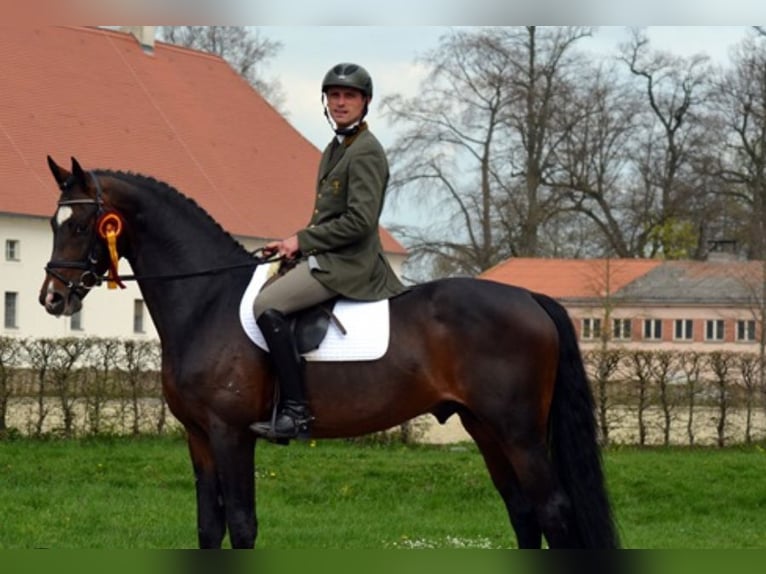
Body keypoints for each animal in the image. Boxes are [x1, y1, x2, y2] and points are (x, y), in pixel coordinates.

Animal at [39, 156, 620, 548]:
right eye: (51, 223)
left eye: (82, 224)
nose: (52, 298)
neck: (207, 301)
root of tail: (528, 296)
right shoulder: (199, 436)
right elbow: (208, 527)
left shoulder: (231, 434)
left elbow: (242, 525)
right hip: (485, 427)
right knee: (523, 512)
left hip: (519, 432)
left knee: (552, 512)